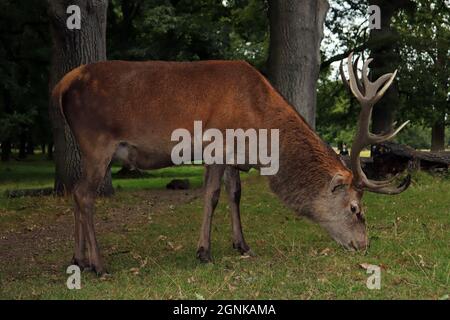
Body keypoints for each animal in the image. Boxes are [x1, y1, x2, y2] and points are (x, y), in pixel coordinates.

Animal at [51, 53, 410, 274]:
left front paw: (242, 246)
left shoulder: (234, 157)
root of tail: (63, 85)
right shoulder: (216, 146)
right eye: (355, 208)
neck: (259, 132)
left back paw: (79, 260)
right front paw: (204, 252)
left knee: (75, 192)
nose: (364, 245)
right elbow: (211, 196)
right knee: (84, 194)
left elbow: (235, 194)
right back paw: (99, 265)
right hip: (97, 141)